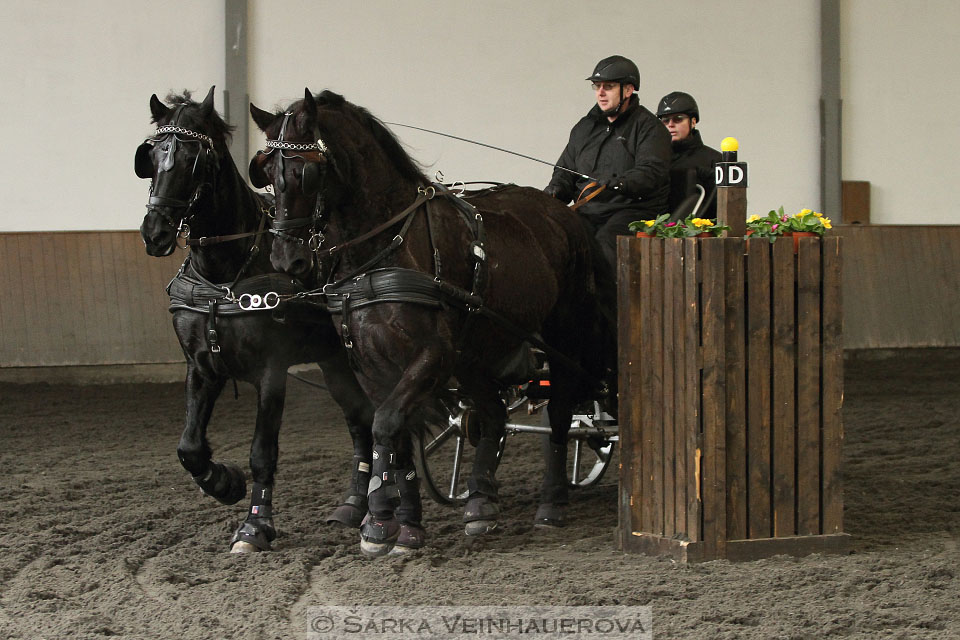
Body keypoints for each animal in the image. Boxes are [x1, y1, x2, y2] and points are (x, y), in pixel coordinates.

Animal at [136, 87, 376, 552]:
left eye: (194, 158)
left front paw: (255, 524)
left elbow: (262, 453)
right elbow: (189, 447)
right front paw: (224, 482)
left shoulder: (271, 370)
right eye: (151, 156)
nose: (154, 232)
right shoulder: (201, 366)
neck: (226, 271)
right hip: (333, 359)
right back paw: (355, 503)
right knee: (361, 419)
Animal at [248, 87, 616, 556]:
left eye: (305, 173)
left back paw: (551, 504)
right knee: (494, 412)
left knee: (561, 412)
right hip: (475, 352)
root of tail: (565, 214)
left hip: (562, 339)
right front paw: (405, 526)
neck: (386, 248)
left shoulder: (432, 356)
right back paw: (480, 502)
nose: (286, 259)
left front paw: (378, 524)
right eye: (264, 173)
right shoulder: (370, 365)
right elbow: (398, 436)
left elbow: (386, 425)